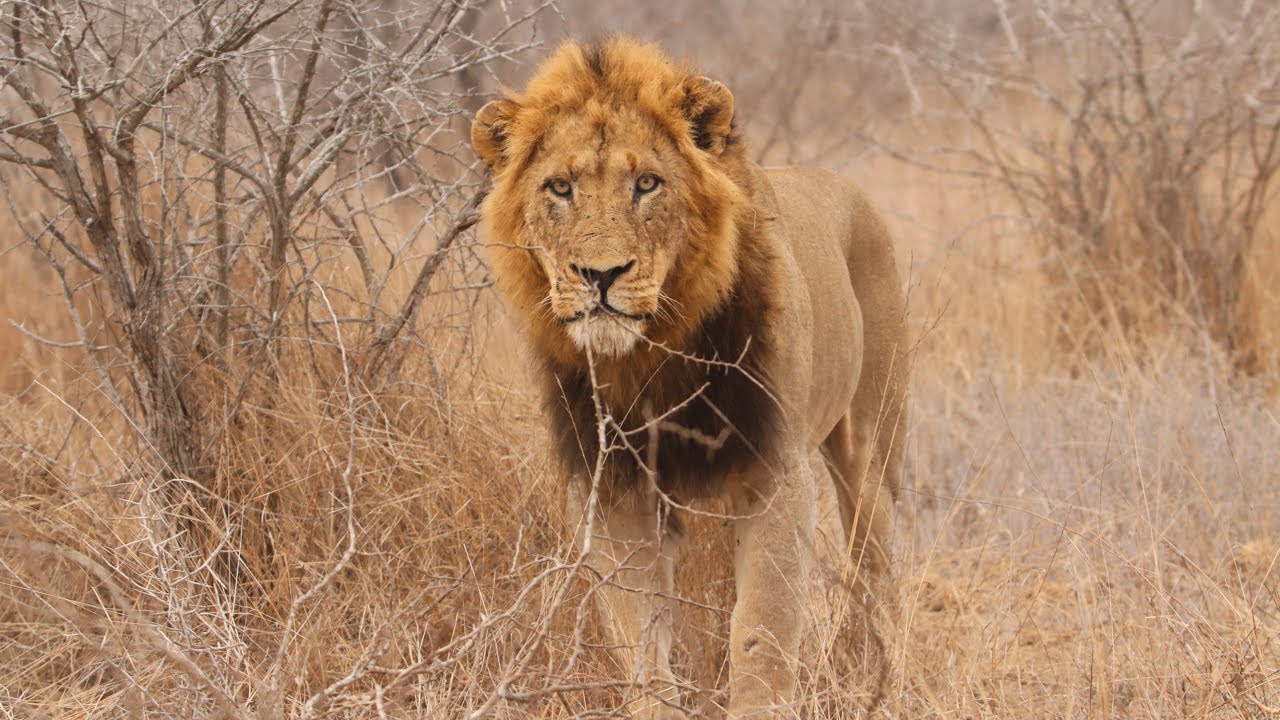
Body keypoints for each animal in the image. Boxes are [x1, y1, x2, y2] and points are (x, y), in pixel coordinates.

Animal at [471, 38, 910, 718]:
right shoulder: (616, 489)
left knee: (877, 569)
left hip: (871, 448)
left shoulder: (775, 474)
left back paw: (883, 683)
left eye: (647, 184)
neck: (655, 357)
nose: (600, 274)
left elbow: (760, 631)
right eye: (560, 188)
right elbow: (641, 639)